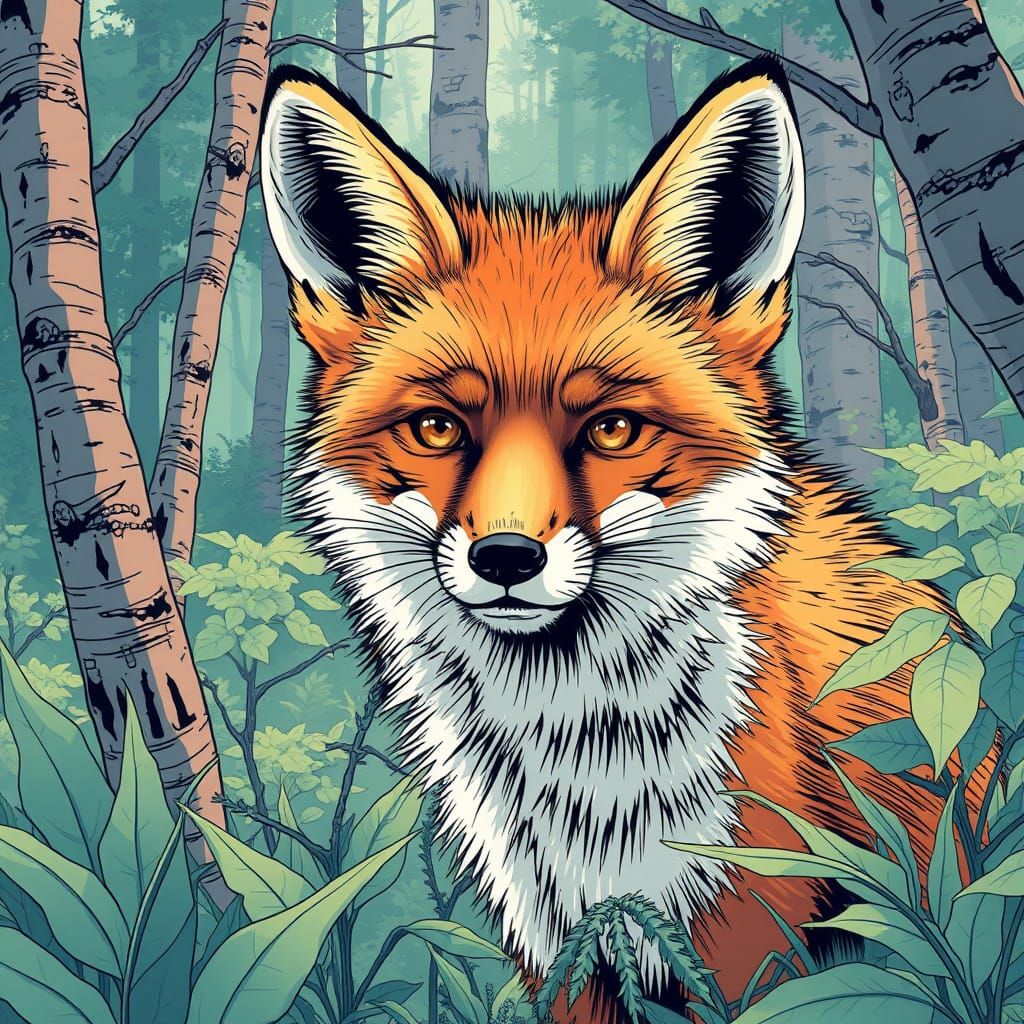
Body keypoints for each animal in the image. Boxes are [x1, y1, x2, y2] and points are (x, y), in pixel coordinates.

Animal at [260, 58, 963, 1020]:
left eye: (613, 429)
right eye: (438, 428)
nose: (505, 559)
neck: (582, 764)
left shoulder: (752, 921)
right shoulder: (563, 939)